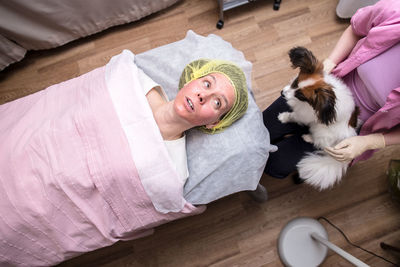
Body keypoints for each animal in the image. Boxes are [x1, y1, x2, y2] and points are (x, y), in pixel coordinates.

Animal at [278, 46, 360, 191]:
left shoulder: (303, 115)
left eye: (301, 96)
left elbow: (293, 116)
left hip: (320, 130)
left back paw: (307, 137)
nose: (282, 93)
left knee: (320, 143)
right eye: (295, 82)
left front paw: (283, 117)